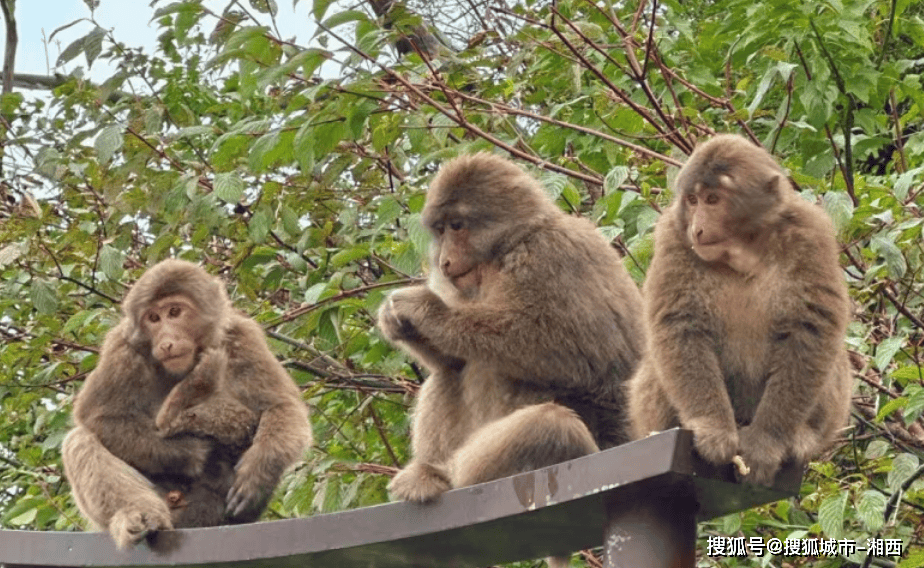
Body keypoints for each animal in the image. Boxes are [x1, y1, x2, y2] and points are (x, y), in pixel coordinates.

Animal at [64, 260, 314, 548]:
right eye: (153, 318)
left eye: (174, 312)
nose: (166, 341)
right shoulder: (122, 348)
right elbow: (98, 417)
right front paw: (202, 453)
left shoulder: (242, 335)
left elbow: (280, 405)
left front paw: (257, 473)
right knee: (80, 440)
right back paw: (139, 516)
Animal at [376, 153, 644, 508]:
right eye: (441, 230)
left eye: (457, 226)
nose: (444, 261)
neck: (502, 253)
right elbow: (450, 357)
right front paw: (395, 321)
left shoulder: (552, 253)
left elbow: (585, 355)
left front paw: (427, 310)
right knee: (451, 371)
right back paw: (432, 475)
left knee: (549, 424)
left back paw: (450, 475)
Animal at [628, 133, 852, 484]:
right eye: (692, 200)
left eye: (713, 199)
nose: (698, 228)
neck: (744, 252)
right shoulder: (673, 236)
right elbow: (679, 324)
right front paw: (711, 427)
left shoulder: (810, 233)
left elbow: (812, 328)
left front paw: (766, 443)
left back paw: (802, 434)